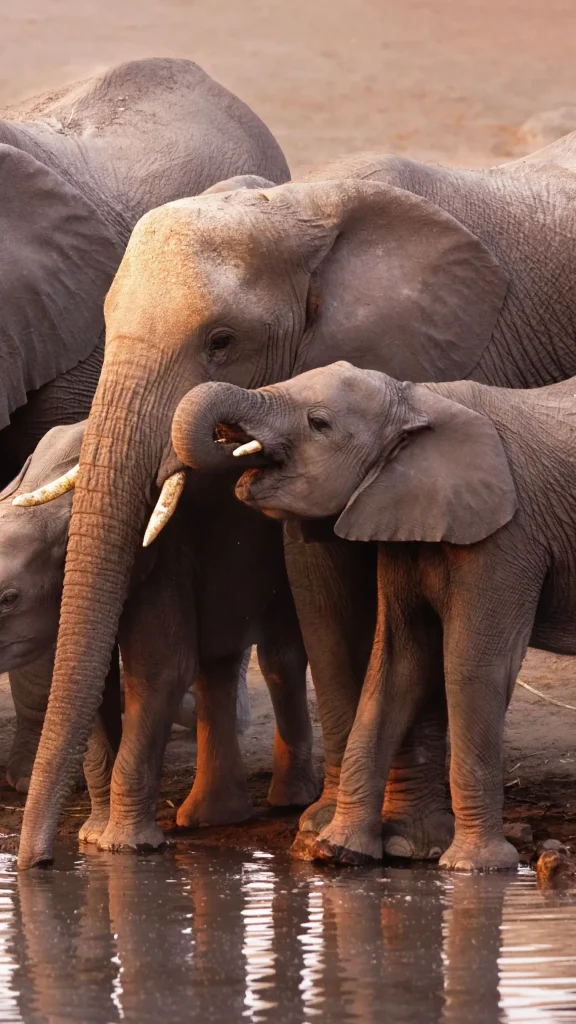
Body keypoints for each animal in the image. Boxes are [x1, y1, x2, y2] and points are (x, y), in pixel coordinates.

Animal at [1, 421, 316, 848]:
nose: (38, 861)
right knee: (218, 661)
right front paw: (92, 837)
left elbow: (160, 670)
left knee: (280, 654)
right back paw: (211, 817)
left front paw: (123, 847)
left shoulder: (162, 548)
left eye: (8, 599)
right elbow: (96, 681)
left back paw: (290, 800)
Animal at [173, 361, 576, 871]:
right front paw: (334, 851)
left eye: (318, 423)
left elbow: (473, 668)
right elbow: (399, 663)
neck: (418, 400)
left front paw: (472, 868)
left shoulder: (507, 535)